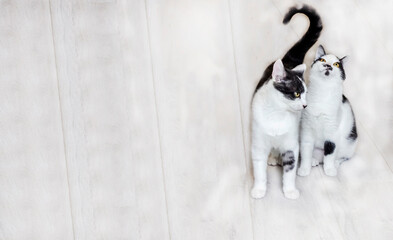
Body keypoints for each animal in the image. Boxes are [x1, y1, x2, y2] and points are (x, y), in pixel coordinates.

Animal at [251, 5, 322, 200]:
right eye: (296, 93)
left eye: (305, 95)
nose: (305, 105)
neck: (277, 116)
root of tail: (288, 60)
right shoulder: (258, 144)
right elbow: (259, 170)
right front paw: (259, 189)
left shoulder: (291, 145)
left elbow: (290, 170)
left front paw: (290, 190)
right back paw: (273, 158)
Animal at [298, 45, 358, 176]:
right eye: (322, 60)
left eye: (336, 64)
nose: (328, 65)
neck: (322, 91)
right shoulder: (306, 130)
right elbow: (305, 151)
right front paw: (304, 169)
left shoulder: (332, 132)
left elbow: (330, 152)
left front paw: (330, 169)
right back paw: (313, 161)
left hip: (350, 145)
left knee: (342, 157)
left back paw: (335, 163)